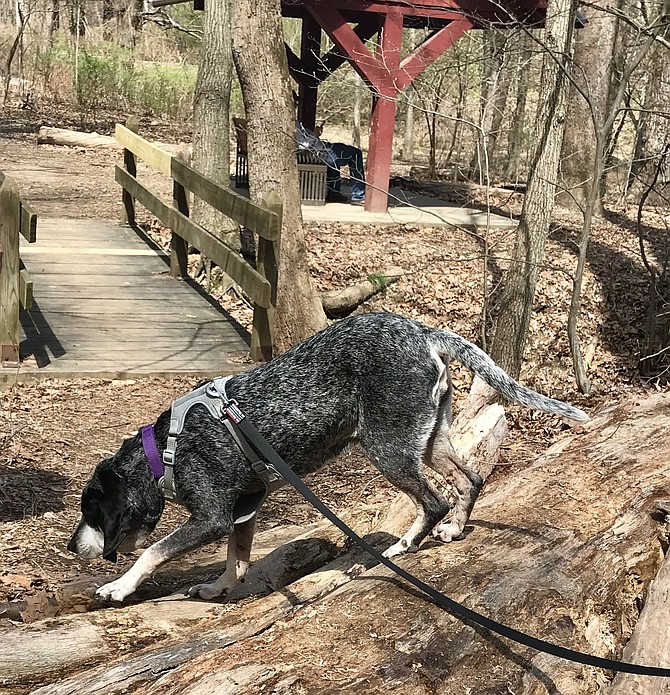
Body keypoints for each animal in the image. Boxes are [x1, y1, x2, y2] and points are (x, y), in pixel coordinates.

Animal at [69, 314, 588, 604]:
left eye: (91, 510)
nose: (73, 548)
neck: (165, 450)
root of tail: (424, 333)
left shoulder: (213, 517)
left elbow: (153, 552)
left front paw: (118, 587)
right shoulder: (243, 513)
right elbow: (236, 561)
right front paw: (219, 589)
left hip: (388, 451)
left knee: (434, 500)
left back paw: (404, 546)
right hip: (429, 442)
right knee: (471, 479)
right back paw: (454, 529)